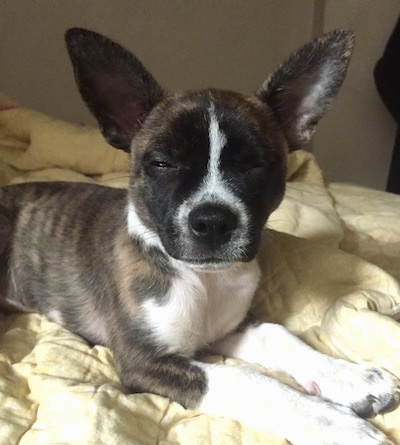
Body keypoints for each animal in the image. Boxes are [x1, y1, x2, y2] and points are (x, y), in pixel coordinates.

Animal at [0, 28, 398, 444]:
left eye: (255, 165)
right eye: (162, 164)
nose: (212, 222)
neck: (205, 280)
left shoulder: (229, 329)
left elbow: (281, 336)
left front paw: (348, 377)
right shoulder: (146, 361)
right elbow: (248, 381)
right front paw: (334, 422)